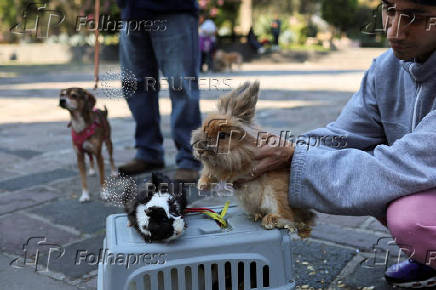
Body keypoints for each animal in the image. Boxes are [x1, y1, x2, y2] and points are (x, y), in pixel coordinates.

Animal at [191, 80, 314, 237]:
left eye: (223, 136)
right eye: (204, 128)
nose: (199, 149)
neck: (239, 148)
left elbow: (224, 172)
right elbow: (208, 172)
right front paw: (202, 185)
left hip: (277, 193)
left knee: (287, 216)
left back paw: (270, 220)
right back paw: (256, 215)